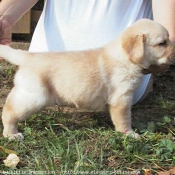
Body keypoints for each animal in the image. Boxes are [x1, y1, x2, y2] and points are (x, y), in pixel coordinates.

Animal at [0, 19, 175, 139]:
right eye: (162, 43)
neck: (125, 57)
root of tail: (27, 57)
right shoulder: (121, 98)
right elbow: (124, 119)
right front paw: (129, 134)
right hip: (35, 97)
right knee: (9, 111)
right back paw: (11, 134)